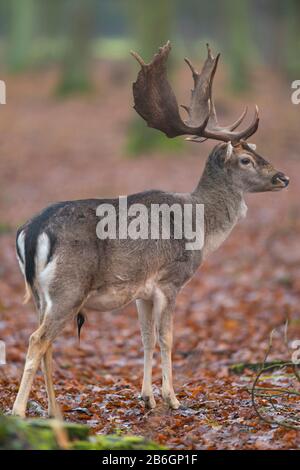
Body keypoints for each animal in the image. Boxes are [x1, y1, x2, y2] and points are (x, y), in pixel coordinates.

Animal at [11, 42, 288, 416]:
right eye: (245, 160)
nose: (283, 178)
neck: (201, 228)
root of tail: (32, 230)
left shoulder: (140, 290)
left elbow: (144, 338)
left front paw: (147, 397)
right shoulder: (171, 280)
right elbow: (167, 338)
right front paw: (172, 398)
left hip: (42, 295)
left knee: (46, 343)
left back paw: (55, 412)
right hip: (69, 286)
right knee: (37, 339)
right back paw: (19, 412)